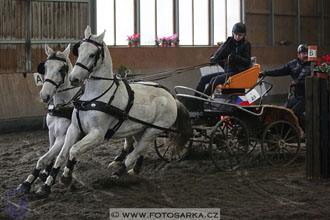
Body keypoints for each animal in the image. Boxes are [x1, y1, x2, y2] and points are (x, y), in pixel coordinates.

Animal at [17, 44, 80, 192]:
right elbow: (49, 157)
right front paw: (35, 178)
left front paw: (45, 184)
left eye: (61, 69)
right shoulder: (51, 133)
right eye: (45, 67)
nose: (44, 95)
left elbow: (47, 158)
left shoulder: (63, 136)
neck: (62, 106)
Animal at [35, 25, 191, 198]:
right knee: (139, 148)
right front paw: (44, 186)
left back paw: (117, 174)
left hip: (153, 130)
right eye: (79, 50)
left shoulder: (97, 134)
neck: (92, 98)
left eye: (92, 54)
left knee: (135, 152)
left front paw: (66, 177)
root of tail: (171, 97)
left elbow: (73, 150)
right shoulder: (73, 129)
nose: (74, 78)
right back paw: (132, 170)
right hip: (140, 128)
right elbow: (60, 155)